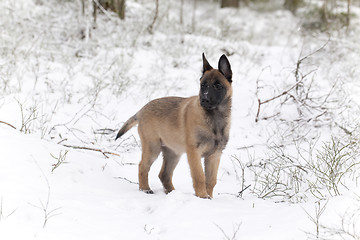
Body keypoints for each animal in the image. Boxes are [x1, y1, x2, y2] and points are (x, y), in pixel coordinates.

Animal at [116, 53, 233, 198]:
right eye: (203, 85)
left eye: (217, 86)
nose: (204, 100)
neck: (213, 118)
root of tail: (141, 111)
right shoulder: (194, 153)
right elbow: (199, 177)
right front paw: (202, 197)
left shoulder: (214, 155)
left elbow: (211, 181)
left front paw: (209, 198)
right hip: (153, 147)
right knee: (143, 166)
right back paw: (145, 189)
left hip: (172, 153)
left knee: (164, 174)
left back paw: (171, 192)